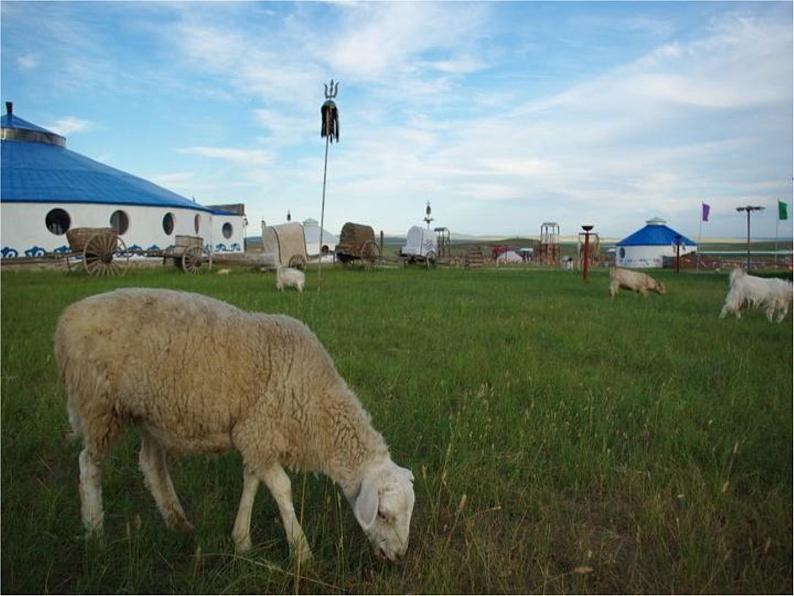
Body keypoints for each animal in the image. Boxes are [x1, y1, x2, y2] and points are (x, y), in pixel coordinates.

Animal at [55, 288, 414, 564]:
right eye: (384, 514)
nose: (398, 557)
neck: (317, 403)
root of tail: (68, 316)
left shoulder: (256, 436)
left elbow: (251, 481)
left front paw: (241, 541)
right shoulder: (258, 431)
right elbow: (282, 488)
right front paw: (301, 553)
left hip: (148, 412)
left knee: (151, 463)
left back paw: (178, 522)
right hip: (98, 404)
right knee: (89, 464)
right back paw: (95, 534)